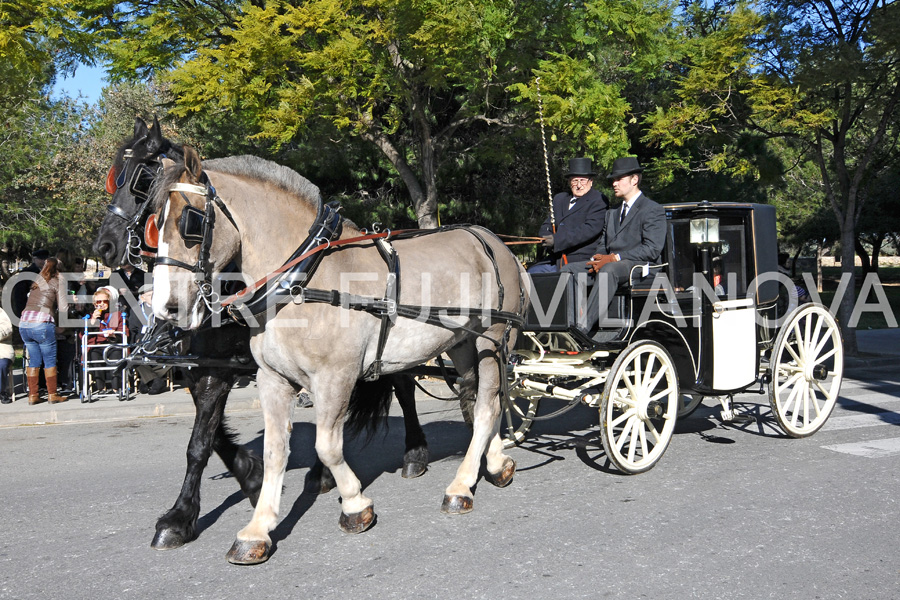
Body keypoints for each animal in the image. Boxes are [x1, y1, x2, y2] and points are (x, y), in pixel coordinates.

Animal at [94, 118, 450, 552]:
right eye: (115, 178)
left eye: (143, 179)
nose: (104, 246)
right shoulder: (204, 368)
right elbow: (212, 438)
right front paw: (251, 477)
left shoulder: (219, 374)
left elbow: (198, 444)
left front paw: (179, 517)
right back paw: (323, 474)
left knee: (403, 385)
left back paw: (413, 454)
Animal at [147, 148, 528, 564]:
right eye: (153, 225)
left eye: (189, 222)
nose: (165, 307)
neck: (300, 280)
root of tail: (496, 243)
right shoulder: (272, 379)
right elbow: (275, 450)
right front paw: (257, 529)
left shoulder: (335, 376)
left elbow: (327, 447)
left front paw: (355, 505)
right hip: (461, 343)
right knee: (475, 399)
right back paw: (495, 463)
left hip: (493, 339)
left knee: (489, 405)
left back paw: (460, 486)